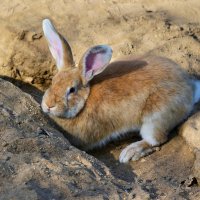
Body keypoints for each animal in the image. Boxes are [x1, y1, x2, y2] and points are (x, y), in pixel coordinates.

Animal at [40, 18, 200, 162]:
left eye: (72, 90)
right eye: (53, 82)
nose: (48, 105)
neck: (85, 101)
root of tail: (190, 89)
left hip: (155, 118)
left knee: (157, 140)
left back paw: (130, 152)